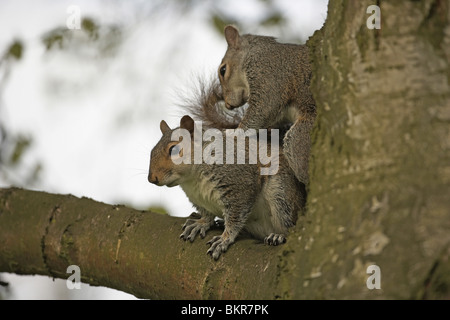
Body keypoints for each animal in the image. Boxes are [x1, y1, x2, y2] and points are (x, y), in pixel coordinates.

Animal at [148, 80, 306, 260]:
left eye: (174, 150)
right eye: (152, 151)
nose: (151, 178)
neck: (192, 179)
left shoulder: (239, 184)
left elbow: (236, 217)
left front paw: (224, 238)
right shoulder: (201, 200)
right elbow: (207, 214)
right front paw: (201, 223)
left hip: (281, 193)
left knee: (288, 221)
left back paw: (279, 235)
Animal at [216, 26, 314, 186]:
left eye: (223, 70)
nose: (228, 105)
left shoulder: (267, 72)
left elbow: (264, 108)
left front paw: (232, 133)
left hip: (302, 137)